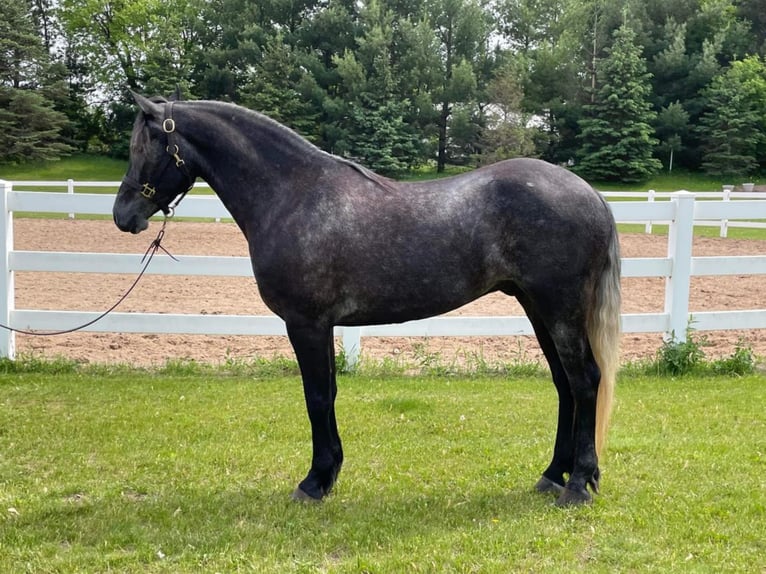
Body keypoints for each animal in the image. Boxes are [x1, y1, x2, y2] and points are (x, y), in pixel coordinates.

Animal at [115, 93, 624, 508]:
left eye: (144, 148)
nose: (124, 215)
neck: (293, 195)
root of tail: (591, 195)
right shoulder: (321, 326)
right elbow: (328, 394)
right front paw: (328, 475)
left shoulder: (305, 323)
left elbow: (317, 397)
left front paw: (314, 482)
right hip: (538, 308)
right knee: (564, 385)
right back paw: (553, 476)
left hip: (559, 309)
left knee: (585, 381)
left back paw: (579, 485)